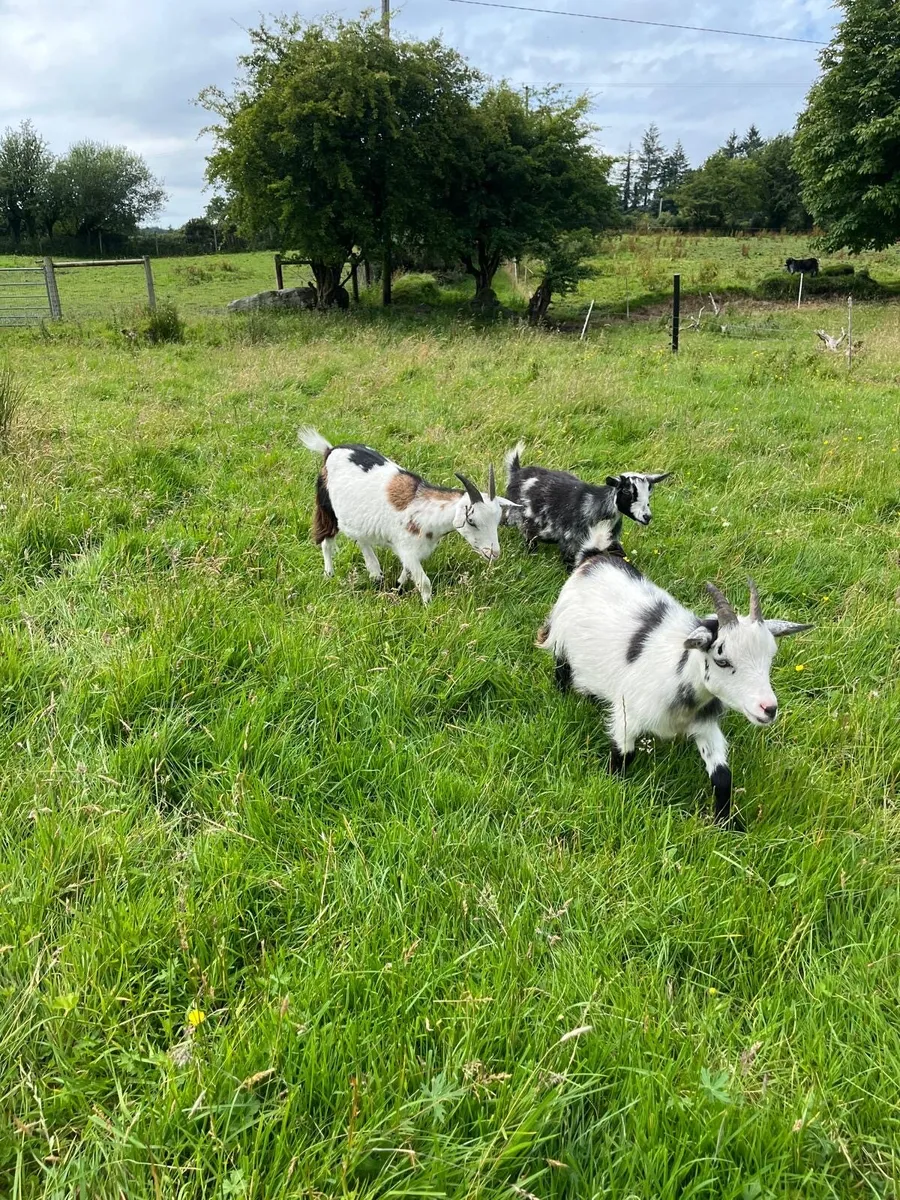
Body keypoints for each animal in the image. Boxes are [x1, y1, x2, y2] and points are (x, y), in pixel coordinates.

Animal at [299, 428, 518, 605]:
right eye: (471, 521)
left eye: (497, 521)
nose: (493, 553)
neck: (426, 512)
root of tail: (330, 450)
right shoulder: (408, 549)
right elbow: (424, 583)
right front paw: (428, 609)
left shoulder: (412, 551)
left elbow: (406, 573)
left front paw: (397, 588)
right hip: (326, 508)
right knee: (326, 542)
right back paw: (329, 574)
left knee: (361, 539)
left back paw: (375, 573)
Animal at [505, 442, 669, 566]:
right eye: (627, 492)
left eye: (649, 493)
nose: (647, 517)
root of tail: (517, 471)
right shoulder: (571, 542)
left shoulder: (610, 540)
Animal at [537, 525, 812, 828]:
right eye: (722, 659)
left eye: (770, 657)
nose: (768, 709)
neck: (677, 675)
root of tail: (593, 557)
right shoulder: (628, 715)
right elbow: (623, 755)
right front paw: (614, 789)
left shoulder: (705, 725)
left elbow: (722, 776)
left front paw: (727, 825)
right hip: (562, 635)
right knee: (562, 666)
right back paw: (563, 695)